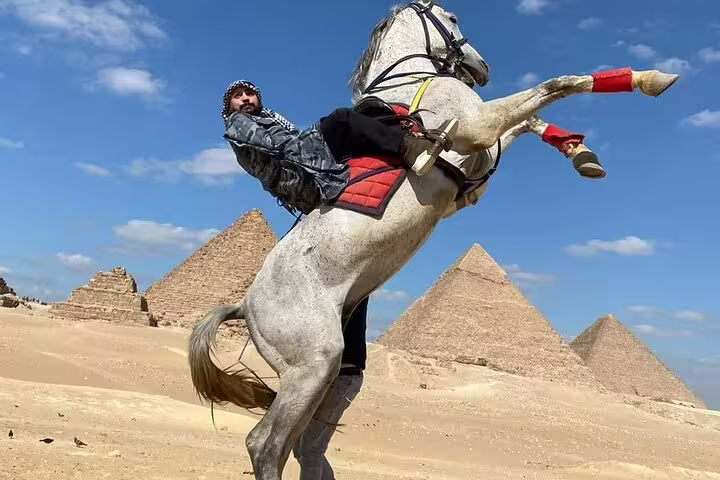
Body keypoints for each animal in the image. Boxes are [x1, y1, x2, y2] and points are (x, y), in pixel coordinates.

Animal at [188, 2, 679, 478]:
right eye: (454, 18)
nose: (483, 68)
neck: (408, 87)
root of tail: (245, 304)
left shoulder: (475, 168)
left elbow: (534, 118)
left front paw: (581, 152)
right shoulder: (477, 130)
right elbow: (557, 84)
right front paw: (650, 78)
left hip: (320, 373)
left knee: (296, 444)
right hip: (314, 361)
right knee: (265, 444)